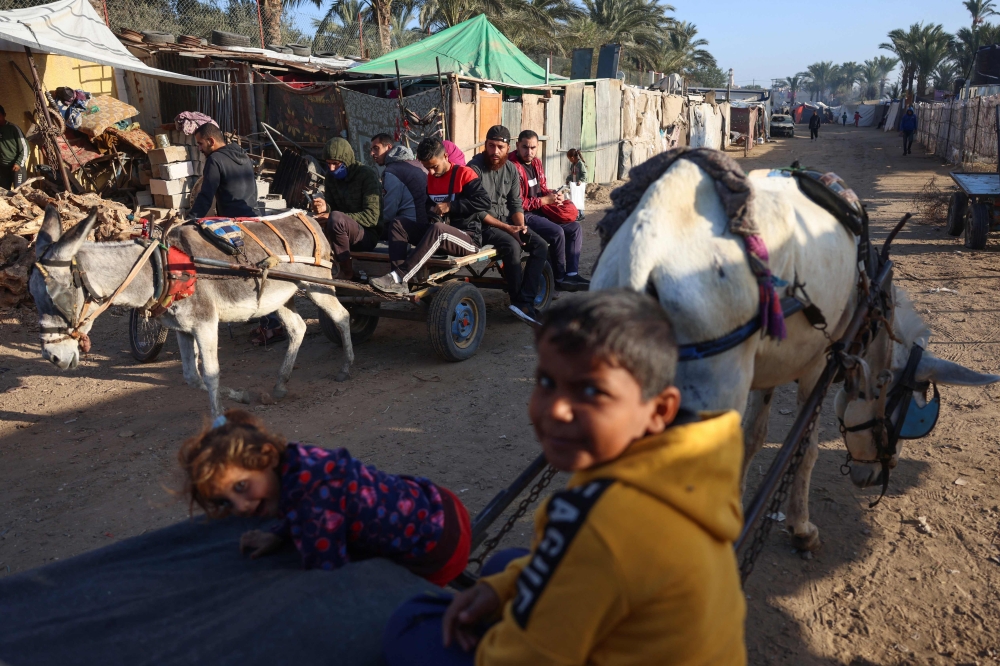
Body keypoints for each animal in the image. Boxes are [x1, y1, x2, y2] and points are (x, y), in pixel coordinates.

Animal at [592, 157, 1000, 548]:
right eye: (911, 416)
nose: (875, 475)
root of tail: (644, 247)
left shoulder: (768, 367)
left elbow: (753, 436)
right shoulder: (818, 366)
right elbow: (806, 448)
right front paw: (800, 526)